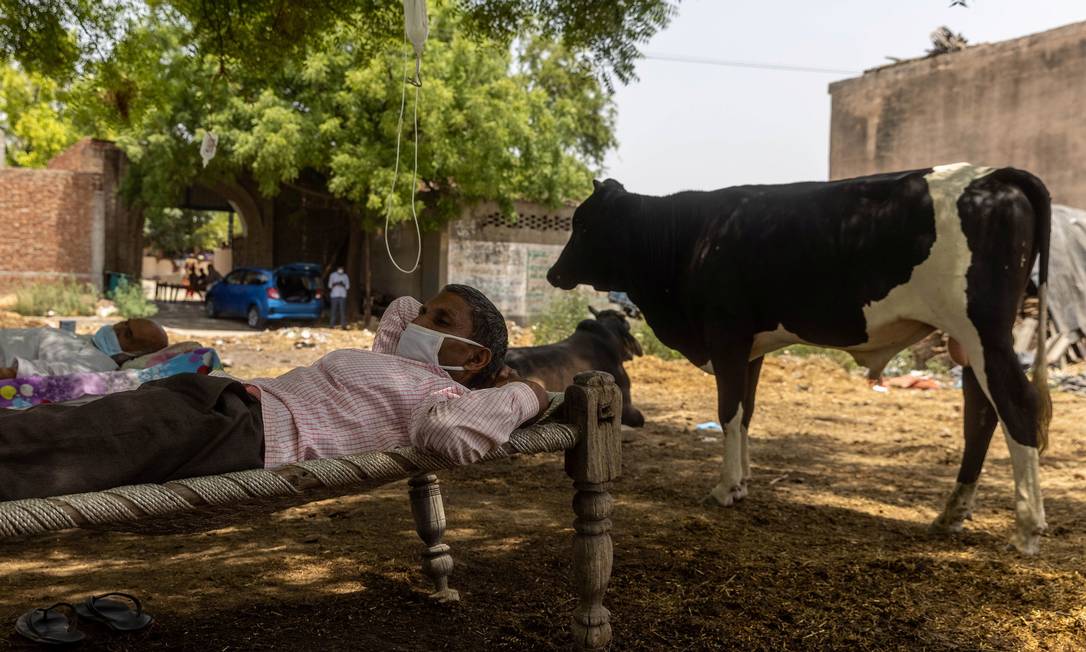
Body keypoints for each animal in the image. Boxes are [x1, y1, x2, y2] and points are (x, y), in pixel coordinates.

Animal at [551, 164, 1051, 554]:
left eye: (584, 223)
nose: (554, 273)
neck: (692, 238)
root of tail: (992, 175)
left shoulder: (726, 336)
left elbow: (728, 412)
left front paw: (725, 488)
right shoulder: (750, 348)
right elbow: (746, 413)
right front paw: (743, 482)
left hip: (984, 332)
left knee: (1018, 408)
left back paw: (1027, 531)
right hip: (970, 343)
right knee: (981, 417)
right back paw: (951, 516)